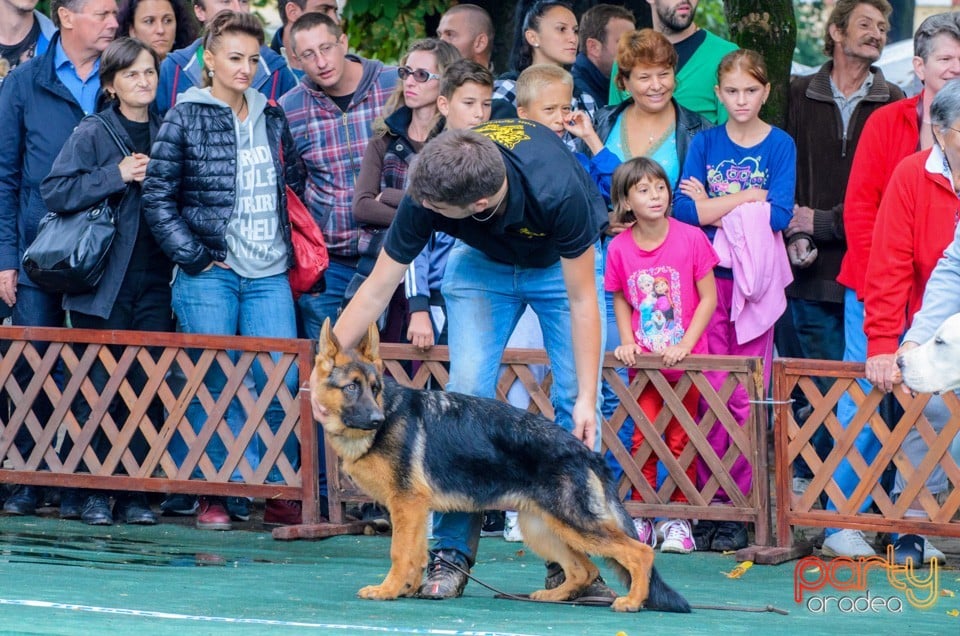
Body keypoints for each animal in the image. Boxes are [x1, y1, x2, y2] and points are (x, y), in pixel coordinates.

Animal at [314, 320, 688, 612]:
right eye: (352, 388)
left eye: (374, 389)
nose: (377, 420)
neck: (387, 411)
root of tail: (585, 451)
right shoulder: (414, 511)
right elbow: (415, 555)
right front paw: (404, 589)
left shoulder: (406, 507)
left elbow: (399, 553)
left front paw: (387, 590)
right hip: (542, 527)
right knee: (583, 569)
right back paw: (553, 596)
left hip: (573, 524)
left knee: (640, 552)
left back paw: (633, 601)